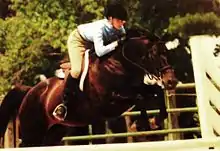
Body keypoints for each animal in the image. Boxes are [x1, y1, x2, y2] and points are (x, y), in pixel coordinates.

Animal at [0, 32, 177, 146]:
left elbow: (154, 93)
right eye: (154, 55)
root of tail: (29, 92)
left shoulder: (135, 90)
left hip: (54, 133)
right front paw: (144, 125)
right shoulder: (110, 103)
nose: (171, 81)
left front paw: (155, 121)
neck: (119, 65)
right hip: (32, 134)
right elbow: (140, 99)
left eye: (167, 53)